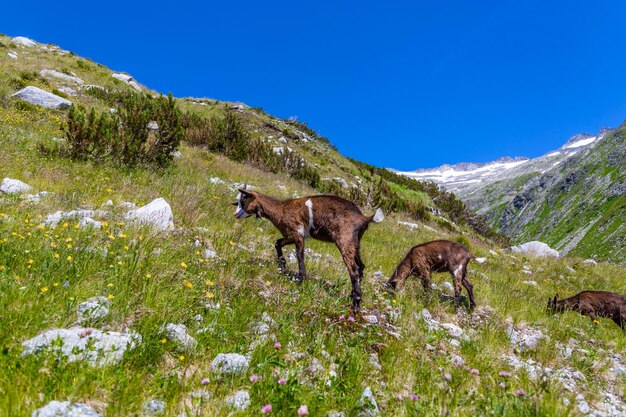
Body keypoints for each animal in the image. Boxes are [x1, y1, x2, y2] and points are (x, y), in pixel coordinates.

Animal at [232, 187, 382, 310]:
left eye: (243, 199)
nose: (236, 214)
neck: (281, 209)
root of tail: (363, 218)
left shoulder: (297, 234)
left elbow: (300, 256)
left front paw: (300, 280)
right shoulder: (291, 236)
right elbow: (277, 243)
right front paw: (283, 267)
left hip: (345, 240)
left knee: (354, 270)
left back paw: (356, 303)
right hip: (355, 243)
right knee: (361, 267)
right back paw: (352, 295)